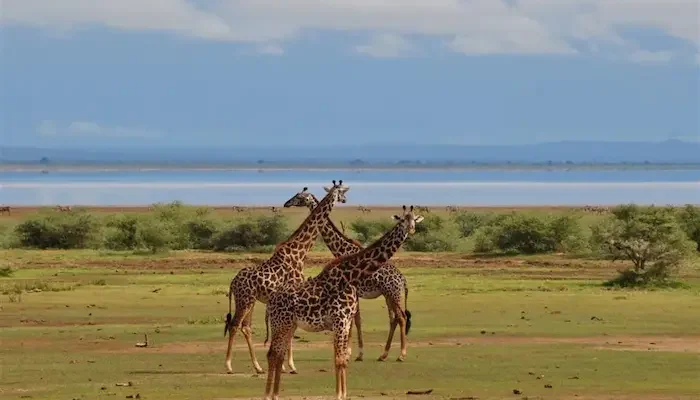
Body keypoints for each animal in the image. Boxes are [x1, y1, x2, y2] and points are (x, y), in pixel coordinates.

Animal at [223, 180, 350, 374]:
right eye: (340, 191)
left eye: (298, 196)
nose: (344, 199)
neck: (300, 251)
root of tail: (232, 282)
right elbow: (290, 331)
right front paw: (290, 365)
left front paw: (282, 365)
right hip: (244, 299)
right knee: (235, 325)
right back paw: (229, 366)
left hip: (250, 300)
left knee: (246, 327)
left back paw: (258, 367)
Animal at [264, 205, 424, 400]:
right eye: (402, 220)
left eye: (414, 219)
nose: (411, 229)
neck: (350, 275)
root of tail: (270, 302)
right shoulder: (340, 320)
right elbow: (340, 358)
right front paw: (340, 393)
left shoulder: (345, 322)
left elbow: (342, 359)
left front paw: (344, 392)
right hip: (280, 324)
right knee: (272, 354)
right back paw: (268, 395)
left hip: (289, 325)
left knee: (277, 355)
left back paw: (275, 394)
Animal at [283, 187, 412, 362]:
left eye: (299, 196)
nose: (286, 203)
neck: (342, 250)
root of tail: (402, 279)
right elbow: (356, 320)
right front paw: (354, 352)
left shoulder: (353, 291)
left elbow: (355, 320)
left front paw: (352, 352)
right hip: (388, 294)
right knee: (394, 319)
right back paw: (384, 354)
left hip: (393, 293)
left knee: (401, 317)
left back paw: (401, 354)